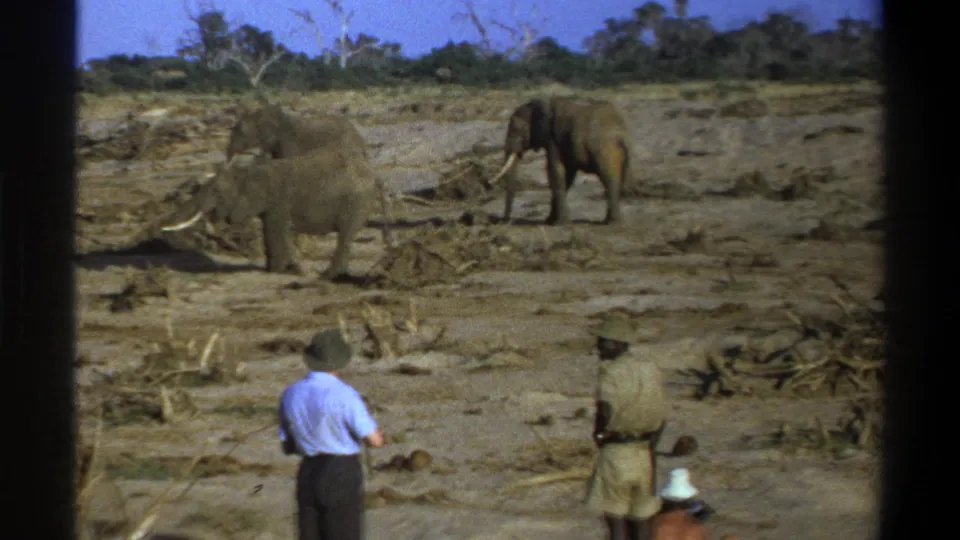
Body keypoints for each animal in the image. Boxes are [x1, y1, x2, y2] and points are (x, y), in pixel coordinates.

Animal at [159, 143, 392, 280]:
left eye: (216, 190)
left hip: (355, 202)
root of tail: (375, 175)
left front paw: (279, 271)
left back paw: (328, 276)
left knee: (345, 235)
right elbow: (271, 231)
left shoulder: (278, 202)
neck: (249, 171)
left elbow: (275, 231)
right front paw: (286, 270)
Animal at [490, 97, 634, 225]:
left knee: (609, 179)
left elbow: (556, 171)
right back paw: (611, 222)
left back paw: (612, 223)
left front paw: (559, 223)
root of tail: (623, 136)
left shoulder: (553, 139)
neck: (540, 103)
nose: (505, 221)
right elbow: (567, 176)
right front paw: (550, 221)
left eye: (515, 129)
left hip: (604, 150)